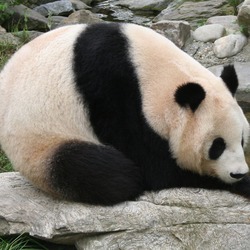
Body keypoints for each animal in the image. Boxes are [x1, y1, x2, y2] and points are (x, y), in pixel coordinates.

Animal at [0, 23, 249, 205]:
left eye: (242, 139)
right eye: (217, 146)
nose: (237, 173)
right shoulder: (110, 91)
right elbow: (154, 167)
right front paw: (242, 183)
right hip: (41, 146)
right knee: (100, 171)